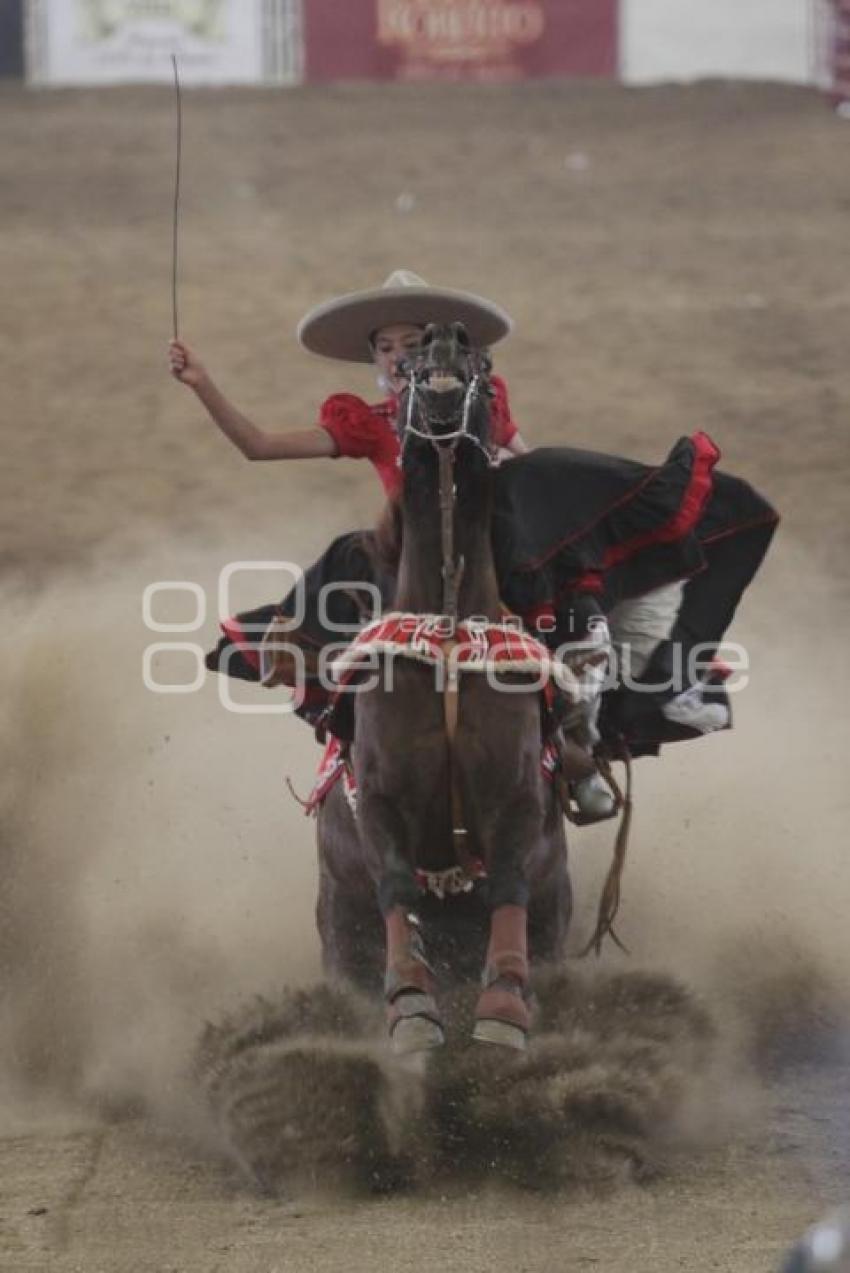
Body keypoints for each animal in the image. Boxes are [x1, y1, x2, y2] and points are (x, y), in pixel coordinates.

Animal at [315, 325, 575, 1054]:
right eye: (404, 367)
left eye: (485, 364)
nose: (444, 340)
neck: (451, 631)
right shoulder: (378, 793)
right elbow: (397, 884)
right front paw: (409, 1002)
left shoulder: (515, 793)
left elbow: (508, 881)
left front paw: (504, 1004)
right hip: (337, 932)